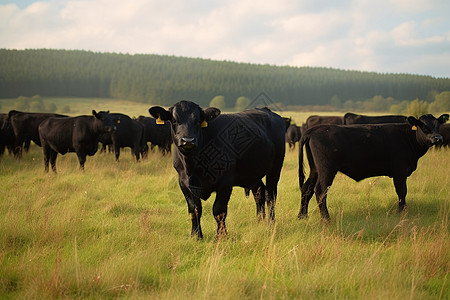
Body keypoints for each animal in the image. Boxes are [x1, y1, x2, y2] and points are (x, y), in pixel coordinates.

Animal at [149, 101, 286, 239]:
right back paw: (260, 221)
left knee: (270, 195)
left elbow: (218, 210)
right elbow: (194, 209)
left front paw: (221, 236)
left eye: (198, 121)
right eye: (174, 120)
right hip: (252, 172)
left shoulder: (225, 182)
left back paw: (271, 224)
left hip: (275, 168)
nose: (188, 141)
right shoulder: (183, 182)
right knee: (259, 192)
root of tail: (267, 110)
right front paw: (196, 235)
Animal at [298, 113, 448, 219]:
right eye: (423, 126)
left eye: (437, 125)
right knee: (320, 190)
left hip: (314, 169)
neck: (408, 137)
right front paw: (402, 212)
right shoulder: (399, 170)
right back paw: (326, 219)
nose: (438, 138)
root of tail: (315, 129)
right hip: (326, 169)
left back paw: (302, 216)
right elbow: (402, 191)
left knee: (307, 188)